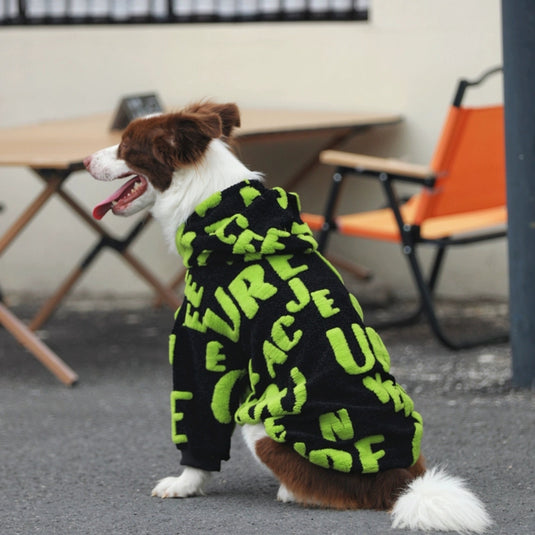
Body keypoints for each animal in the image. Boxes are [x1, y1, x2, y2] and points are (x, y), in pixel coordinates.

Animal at [85, 100, 494, 532]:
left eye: (127, 146)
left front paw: (185, 484)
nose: (84, 160)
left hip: (258, 424)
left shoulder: (201, 340)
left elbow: (200, 421)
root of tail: (397, 484)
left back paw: (289, 491)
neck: (224, 211)